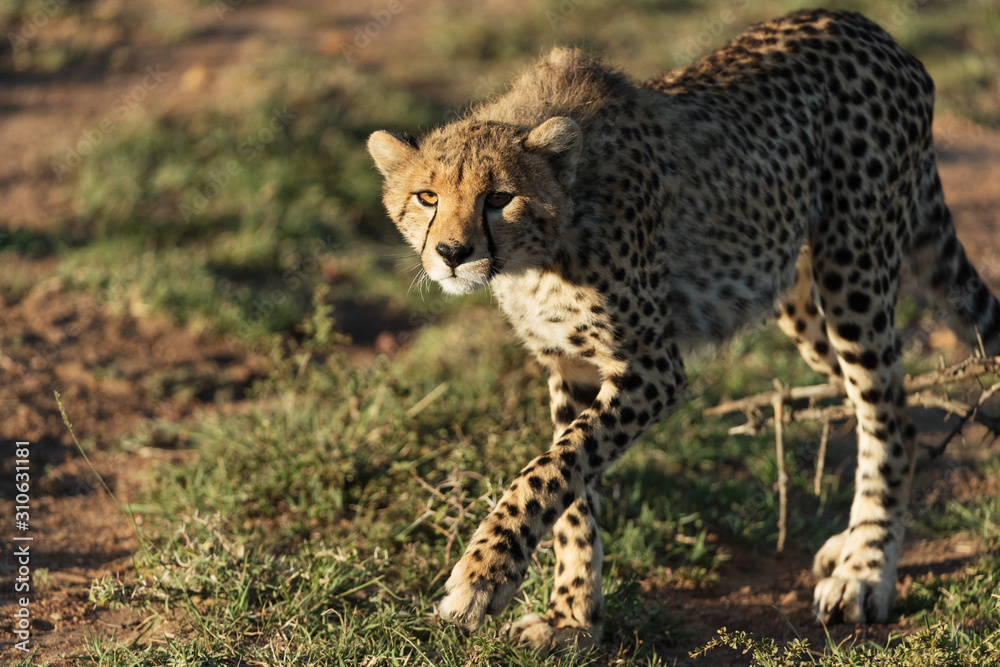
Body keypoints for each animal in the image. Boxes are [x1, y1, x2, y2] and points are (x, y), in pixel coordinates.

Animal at [367, 8, 1000, 653]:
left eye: (499, 197)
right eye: (427, 196)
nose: (451, 253)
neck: (539, 252)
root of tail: (865, 25)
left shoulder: (651, 365)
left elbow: (549, 470)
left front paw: (483, 576)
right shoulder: (570, 365)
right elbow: (572, 491)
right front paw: (572, 617)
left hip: (854, 274)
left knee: (888, 415)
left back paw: (866, 571)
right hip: (803, 301)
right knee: (892, 407)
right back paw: (850, 546)